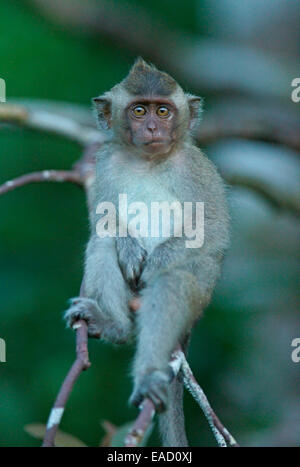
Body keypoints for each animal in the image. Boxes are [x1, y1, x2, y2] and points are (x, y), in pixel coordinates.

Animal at [65, 57, 230, 446]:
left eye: (163, 111)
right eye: (139, 110)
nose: (153, 127)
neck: (149, 160)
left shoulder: (198, 168)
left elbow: (212, 229)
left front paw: (157, 260)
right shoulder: (106, 162)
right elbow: (103, 222)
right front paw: (127, 245)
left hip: (201, 293)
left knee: (172, 284)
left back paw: (148, 375)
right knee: (102, 244)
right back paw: (115, 326)